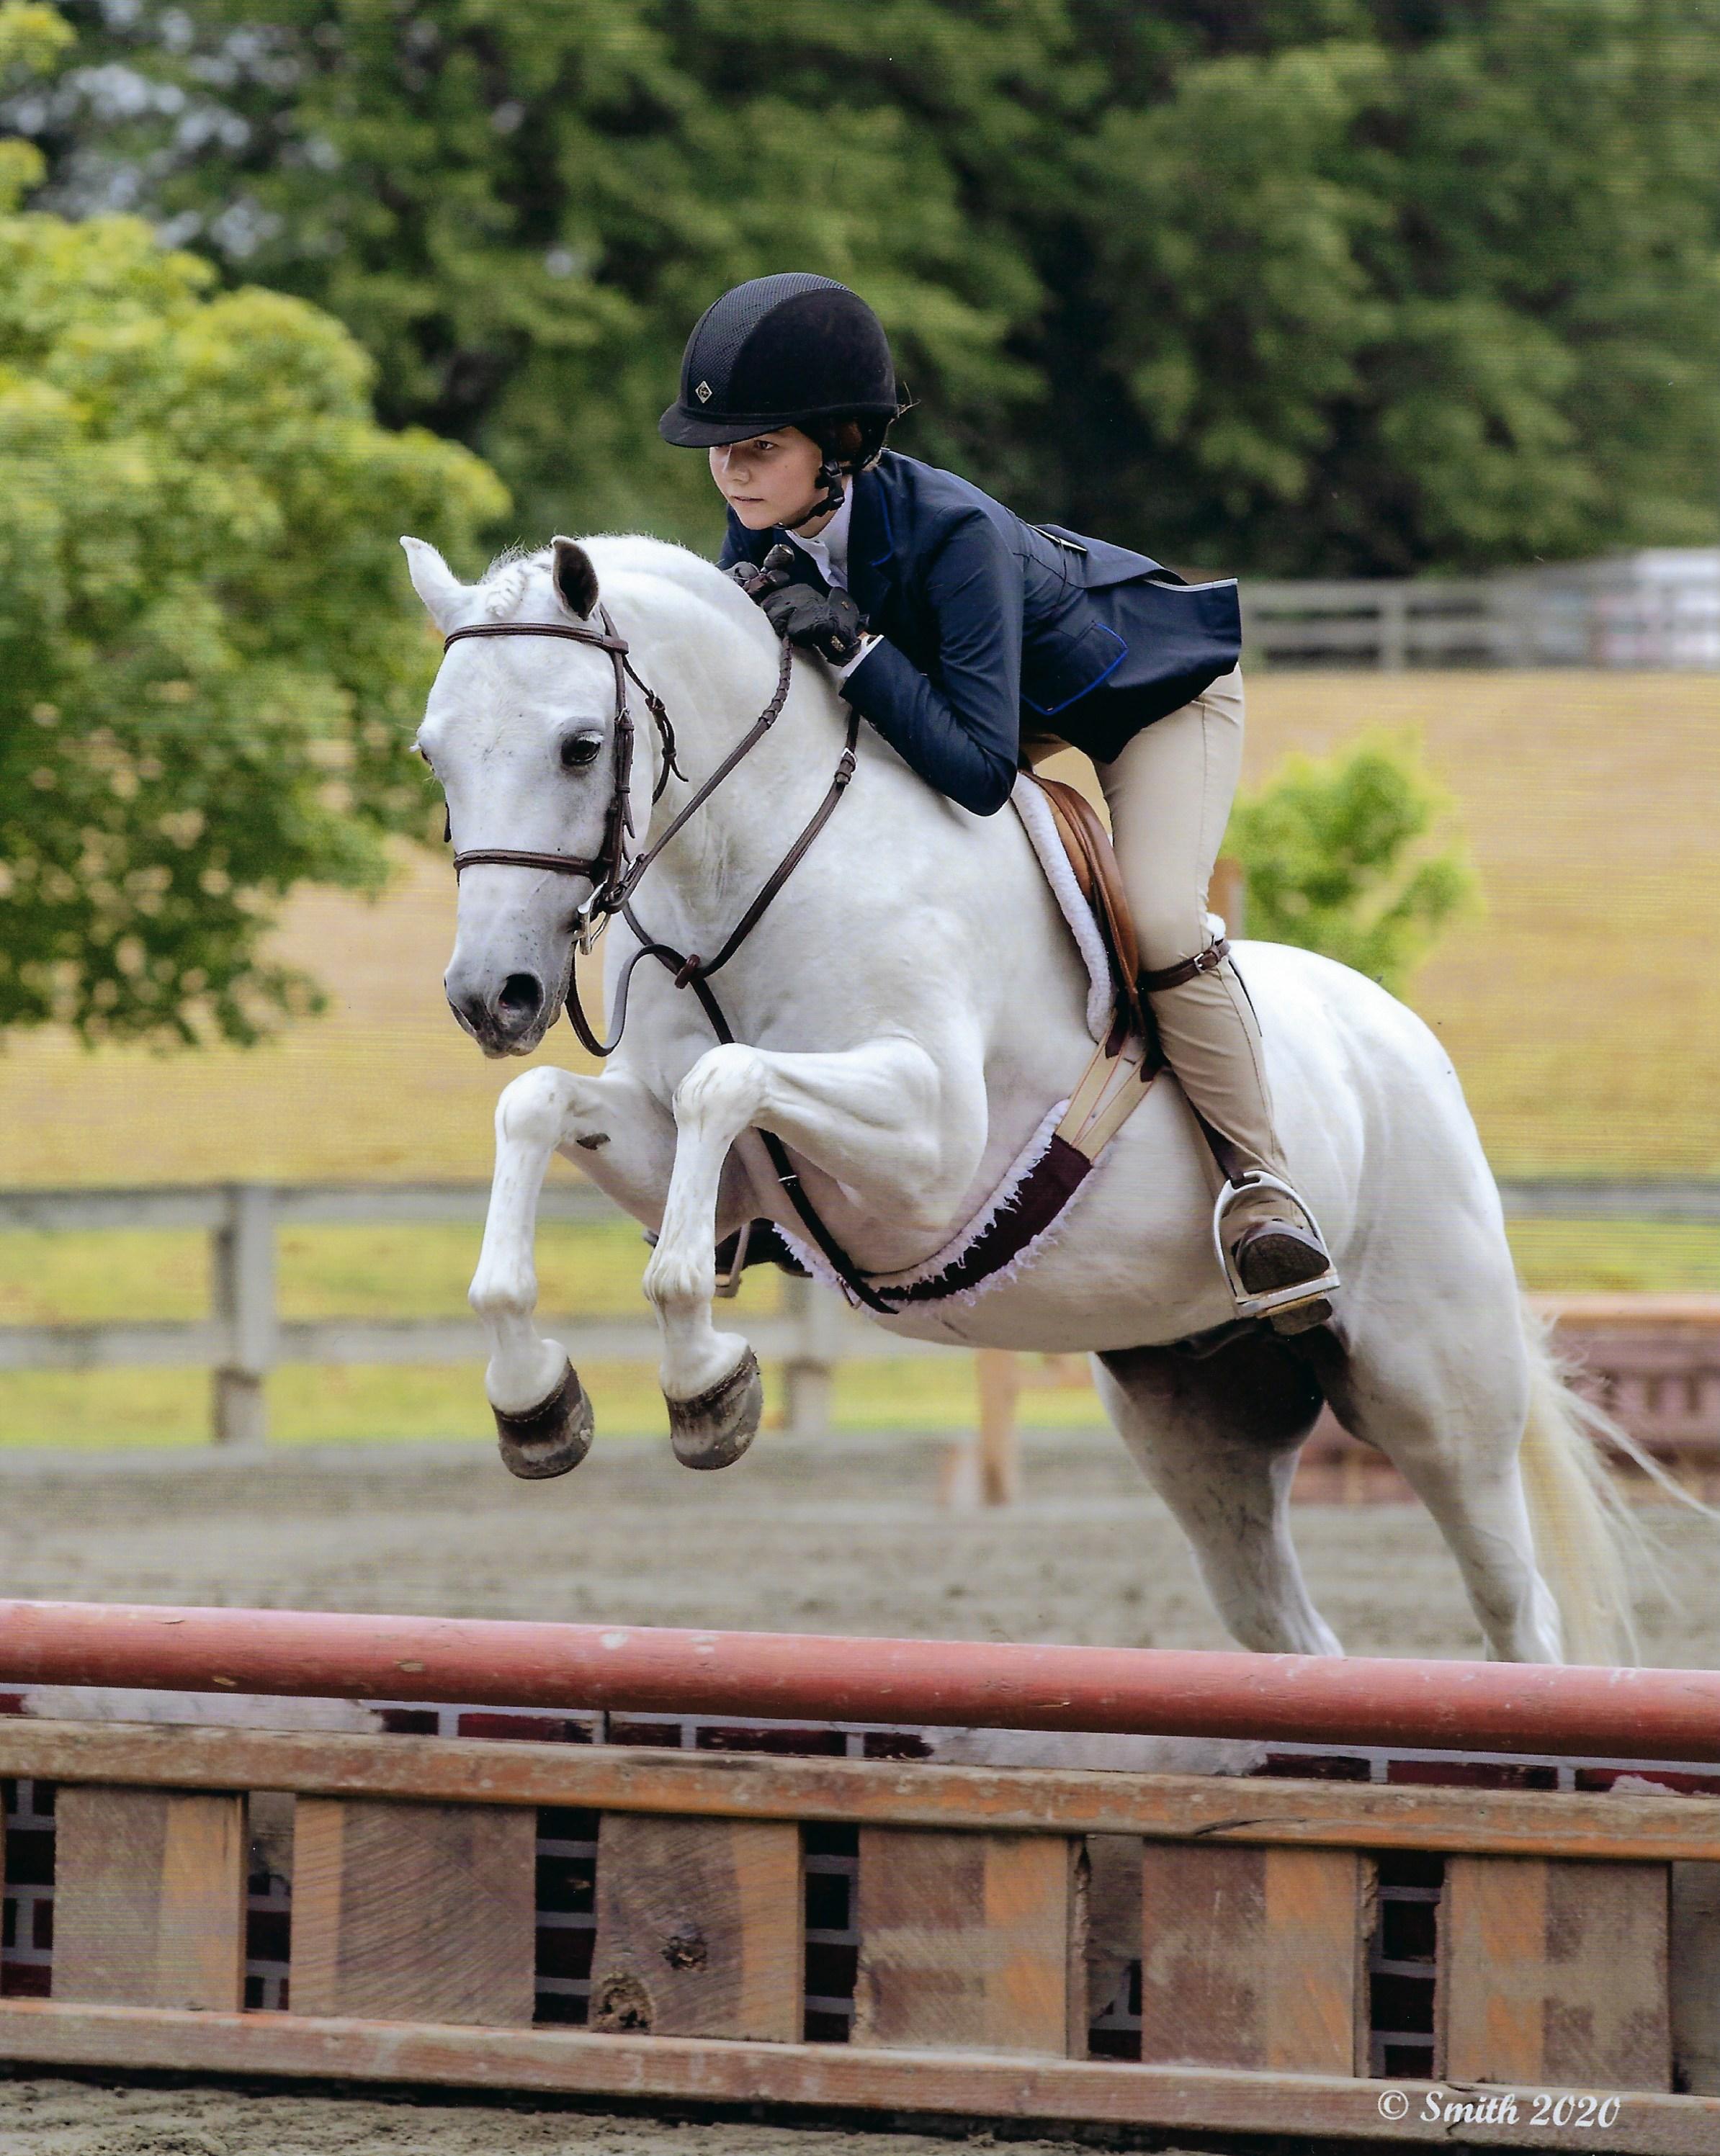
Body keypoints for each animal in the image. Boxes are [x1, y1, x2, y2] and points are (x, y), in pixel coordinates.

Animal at [402, 527, 1635, 1667]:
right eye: (434, 754)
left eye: (580, 745)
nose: (493, 995)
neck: (745, 869)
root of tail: (1407, 1041)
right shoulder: (693, 1155)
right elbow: (540, 1107)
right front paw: (534, 1397)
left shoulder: (930, 1148)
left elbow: (728, 1078)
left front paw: (707, 1384)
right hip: (1198, 1417)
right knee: (1287, 1629)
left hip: (1435, 1396)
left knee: (1514, 1612)